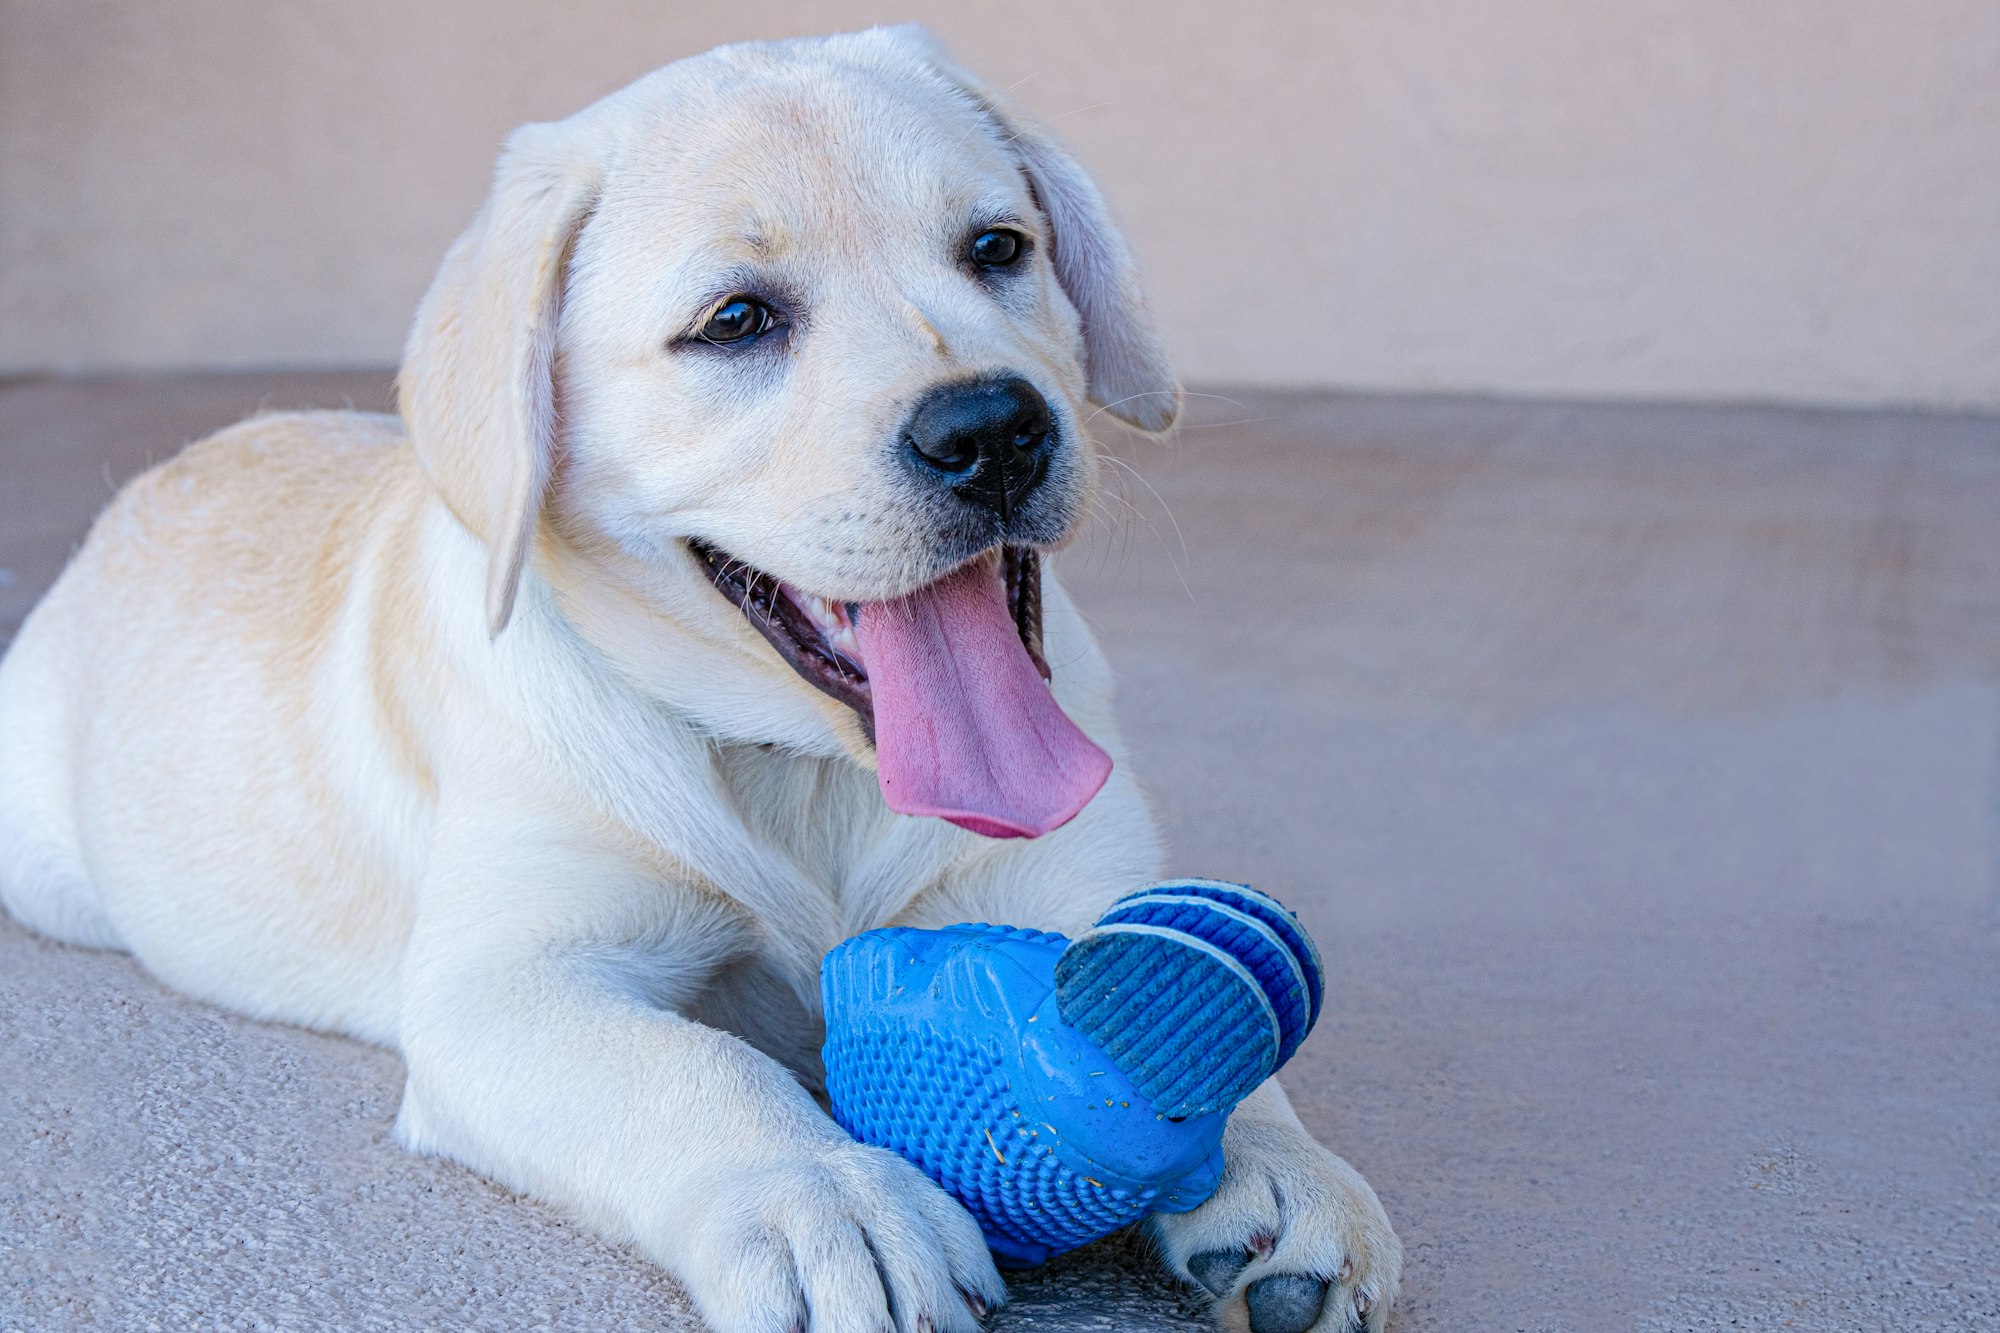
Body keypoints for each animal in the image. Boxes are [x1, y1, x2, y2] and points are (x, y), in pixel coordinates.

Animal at [0, 23, 1400, 1328]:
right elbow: (694, 1073)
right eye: (737, 322)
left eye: (996, 248)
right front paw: (829, 1198)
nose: (993, 430)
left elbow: (1203, 1029)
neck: (812, 771)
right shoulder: (506, 988)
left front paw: (1280, 1166)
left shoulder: (1072, 883)